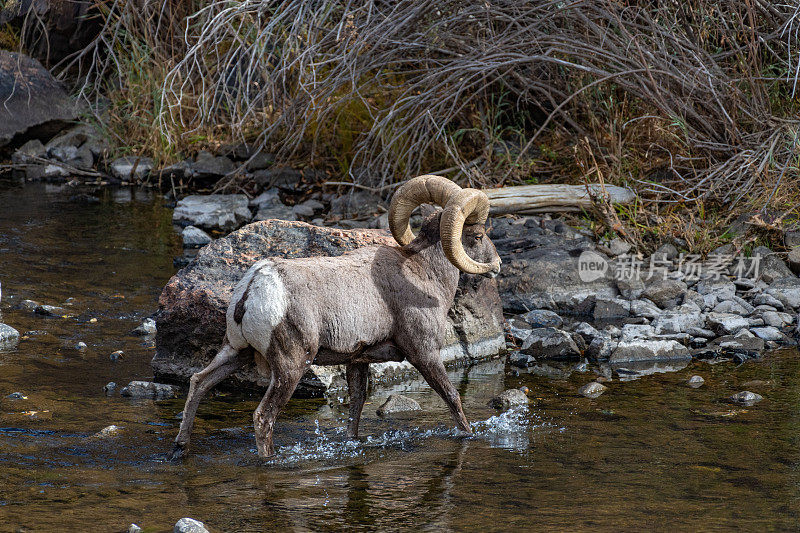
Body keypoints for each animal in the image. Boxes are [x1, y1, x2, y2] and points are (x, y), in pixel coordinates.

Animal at [170, 175, 500, 458]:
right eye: (478, 235)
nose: (496, 265)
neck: (422, 272)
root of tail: (256, 285)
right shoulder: (424, 353)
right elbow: (452, 397)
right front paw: (468, 435)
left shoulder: (358, 360)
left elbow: (356, 406)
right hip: (290, 367)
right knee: (264, 417)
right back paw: (269, 460)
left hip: (235, 351)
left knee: (199, 383)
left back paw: (180, 448)